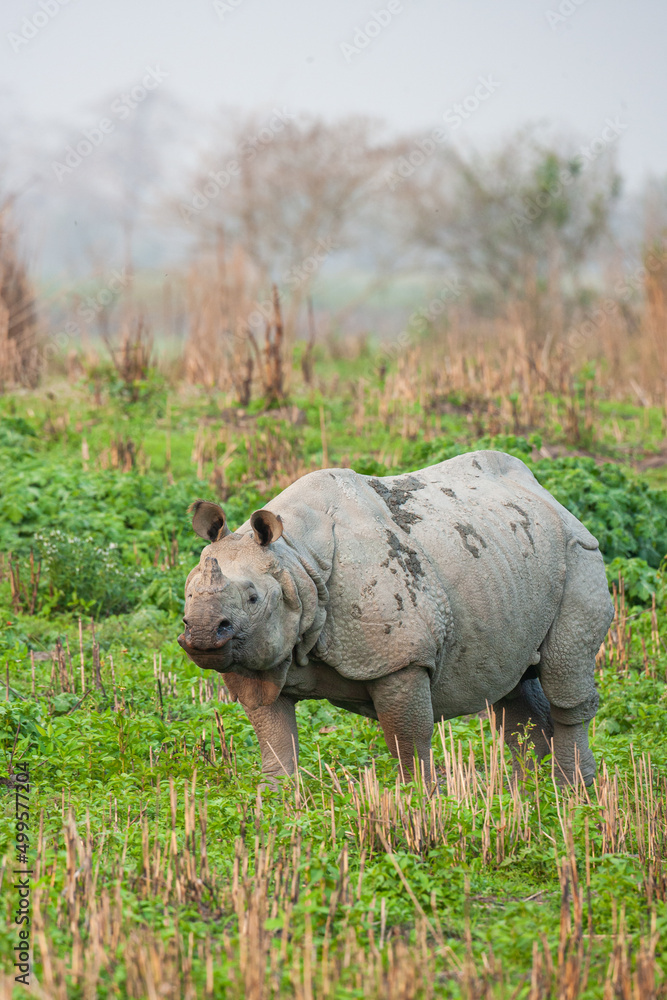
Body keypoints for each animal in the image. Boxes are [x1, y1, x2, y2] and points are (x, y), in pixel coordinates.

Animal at [178, 451, 613, 787]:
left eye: (253, 598)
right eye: (188, 596)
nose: (202, 633)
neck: (295, 563)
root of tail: (547, 495)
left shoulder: (401, 658)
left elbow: (408, 735)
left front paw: (421, 801)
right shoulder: (257, 660)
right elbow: (274, 737)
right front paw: (274, 801)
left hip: (580, 553)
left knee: (563, 674)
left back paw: (573, 792)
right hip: (509, 556)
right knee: (510, 685)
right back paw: (529, 794)